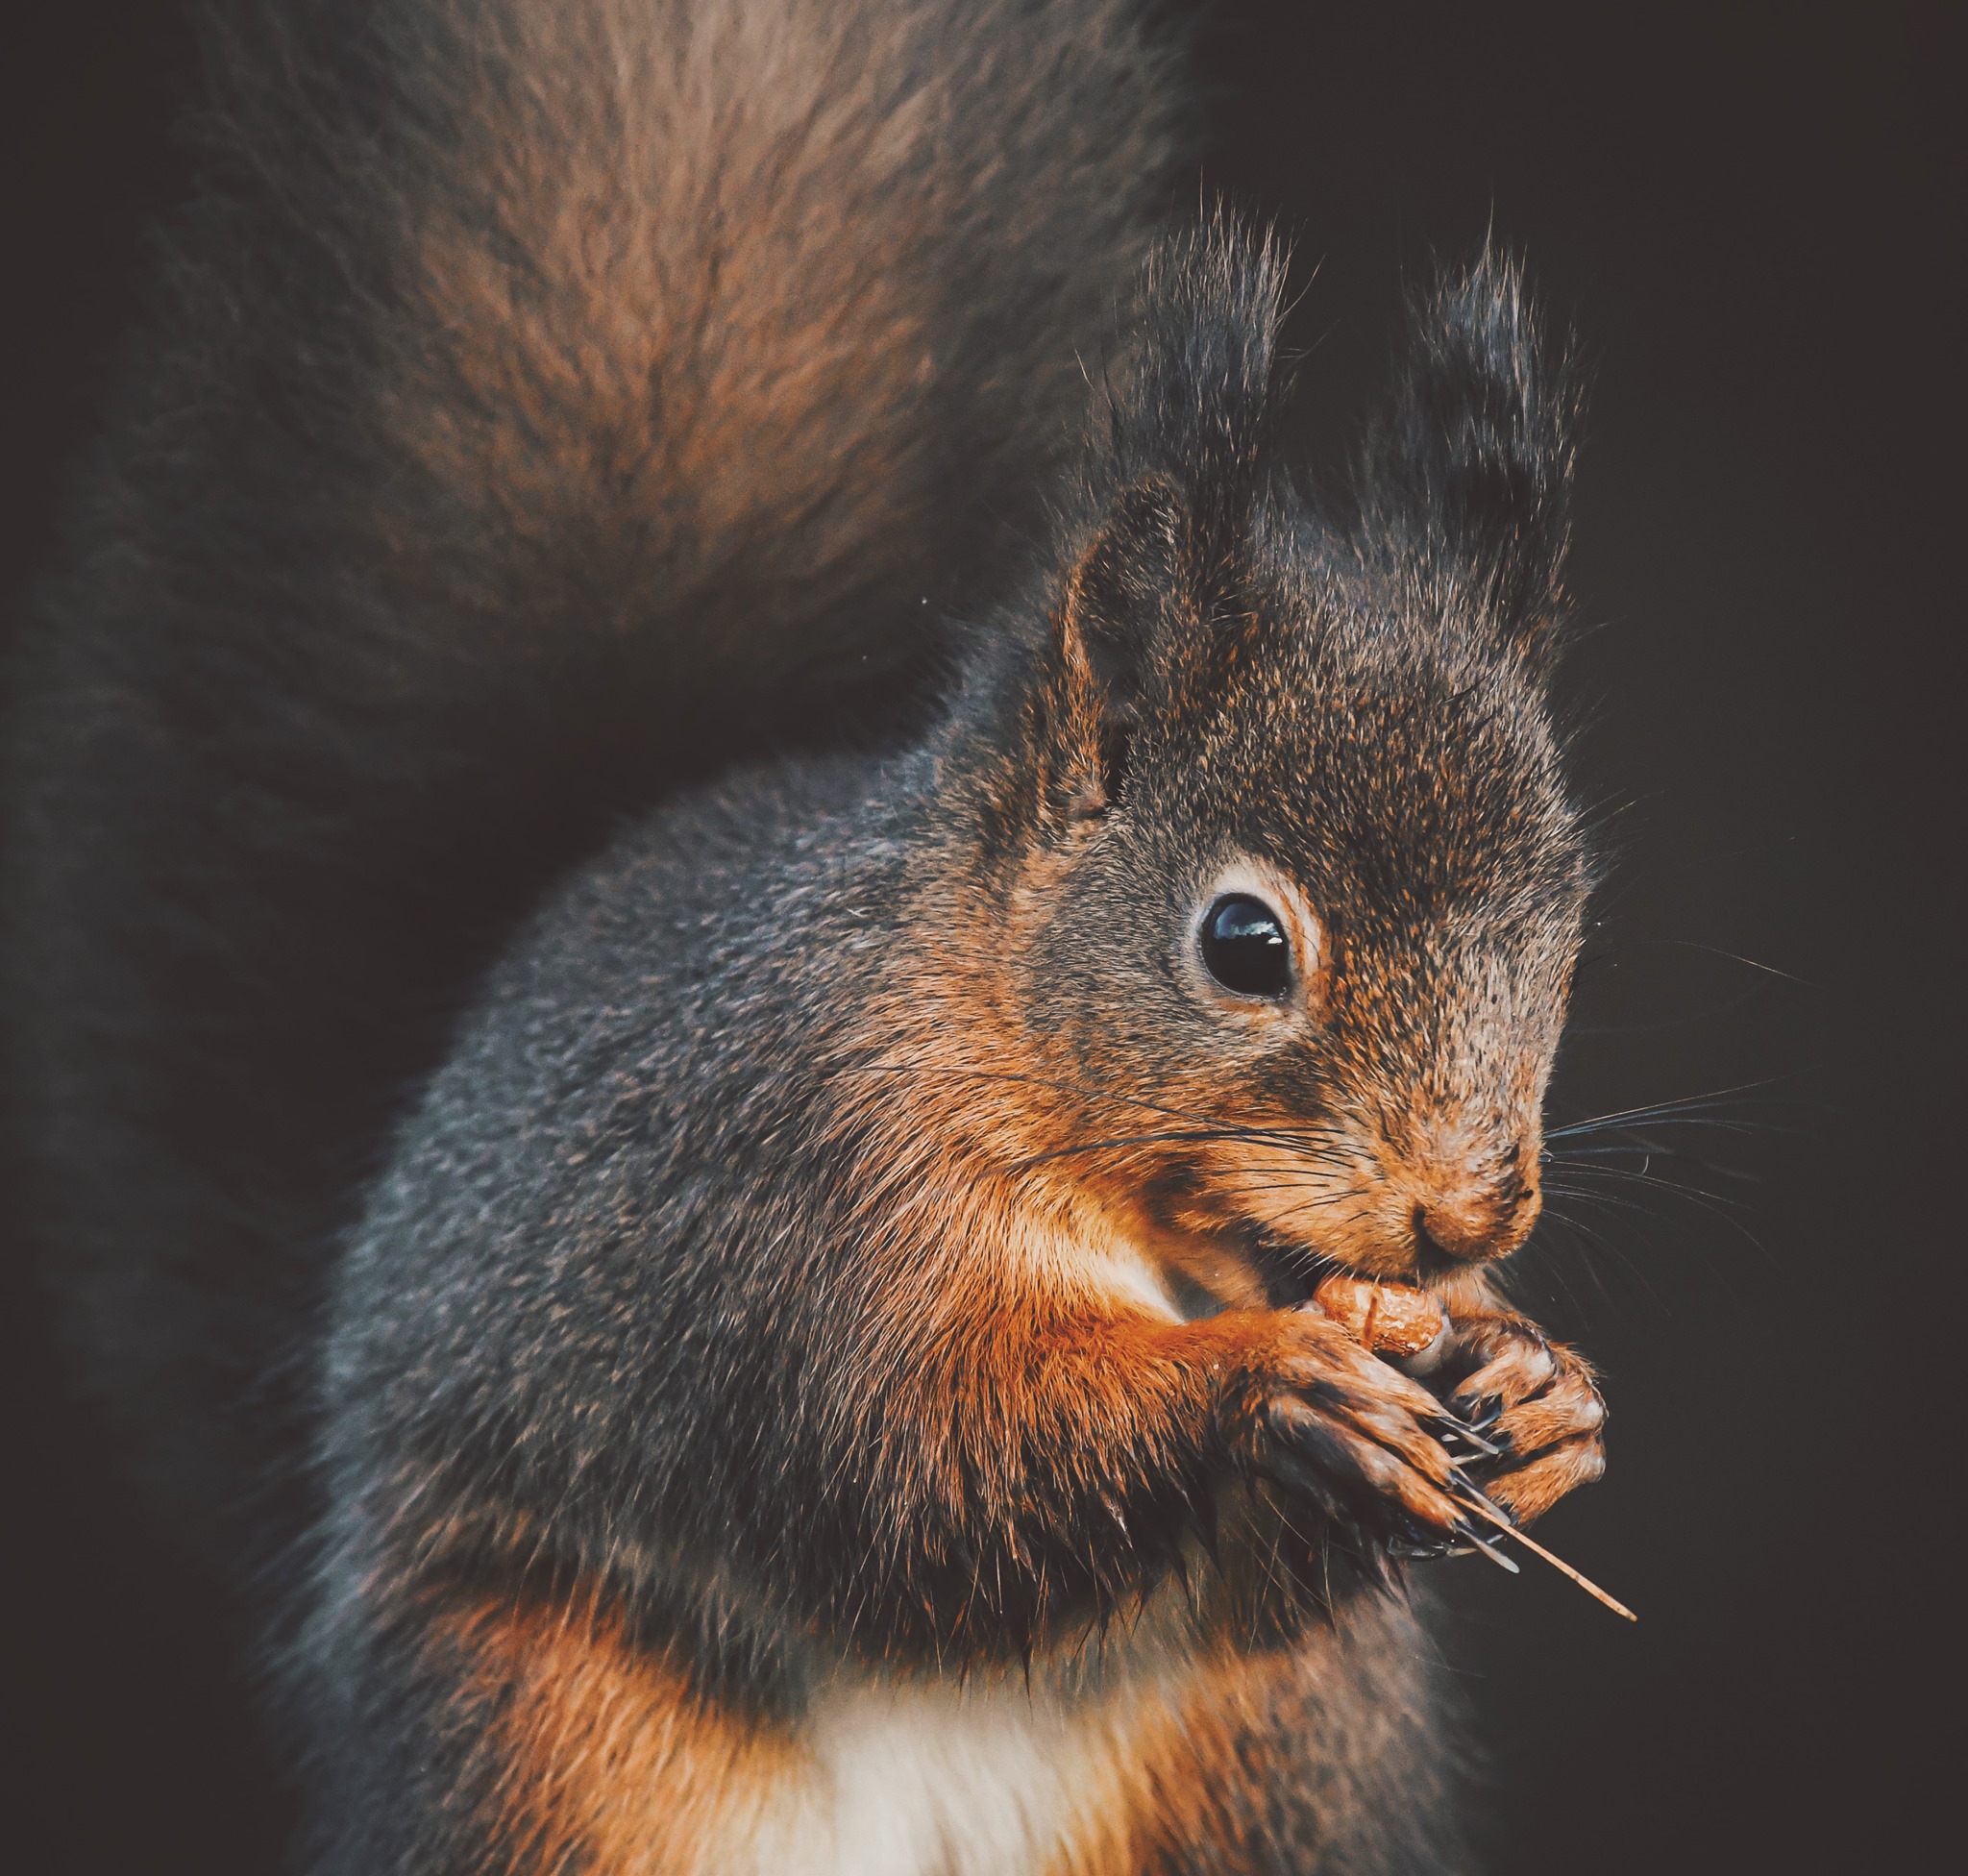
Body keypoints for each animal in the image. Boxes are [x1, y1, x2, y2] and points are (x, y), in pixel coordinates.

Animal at [3, 1, 1612, 1871]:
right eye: (1242, 941)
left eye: (1571, 917)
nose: (1466, 1214)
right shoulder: (792, 1198)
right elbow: (914, 1457)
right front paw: (1271, 1386)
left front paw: (1544, 1386)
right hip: (552, 1737)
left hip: (1279, 1764)